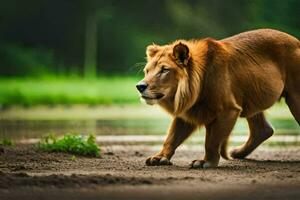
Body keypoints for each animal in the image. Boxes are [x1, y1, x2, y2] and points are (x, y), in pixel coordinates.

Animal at [137, 28, 300, 168]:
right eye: (147, 71)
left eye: (164, 70)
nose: (140, 86)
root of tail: (297, 41)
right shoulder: (189, 109)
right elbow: (172, 137)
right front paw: (160, 157)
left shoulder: (228, 110)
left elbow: (212, 141)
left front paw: (206, 162)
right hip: (251, 93)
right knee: (263, 130)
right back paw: (238, 153)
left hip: (294, 98)